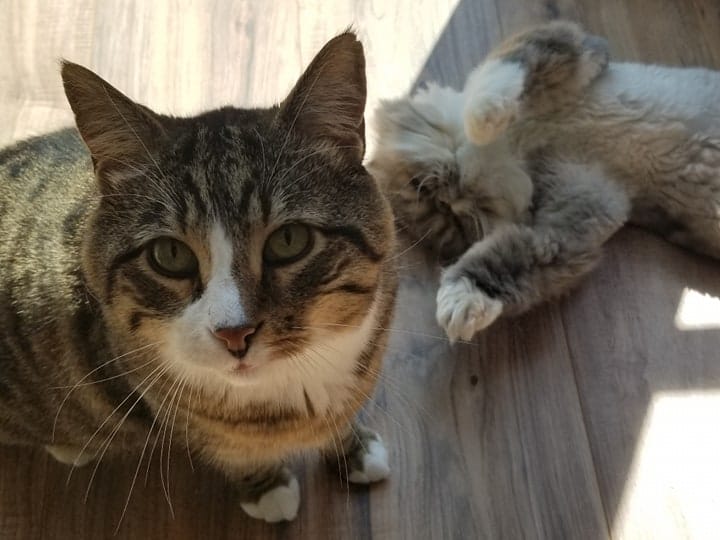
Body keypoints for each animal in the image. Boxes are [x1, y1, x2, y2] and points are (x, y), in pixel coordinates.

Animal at [0, 33, 396, 524]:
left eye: (289, 240)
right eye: (170, 255)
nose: (234, 333)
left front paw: (352, 446)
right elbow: (235, 450)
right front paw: (267, 487)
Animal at [372, 22, 720, 342]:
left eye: (421, 185)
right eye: (452, 223)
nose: (449, 203)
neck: (521, 149)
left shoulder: (563, 46)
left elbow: (492, 83)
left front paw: (485, 123)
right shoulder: (575, 219)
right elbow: (505, 263)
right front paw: (462, 303)